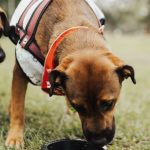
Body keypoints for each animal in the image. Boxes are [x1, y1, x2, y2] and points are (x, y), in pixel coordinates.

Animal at [0, 0, 136, 149]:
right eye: (78, 106)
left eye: (109, 103)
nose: (98, 141)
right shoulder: (21, 70)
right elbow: (18, 107)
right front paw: (15, 137)